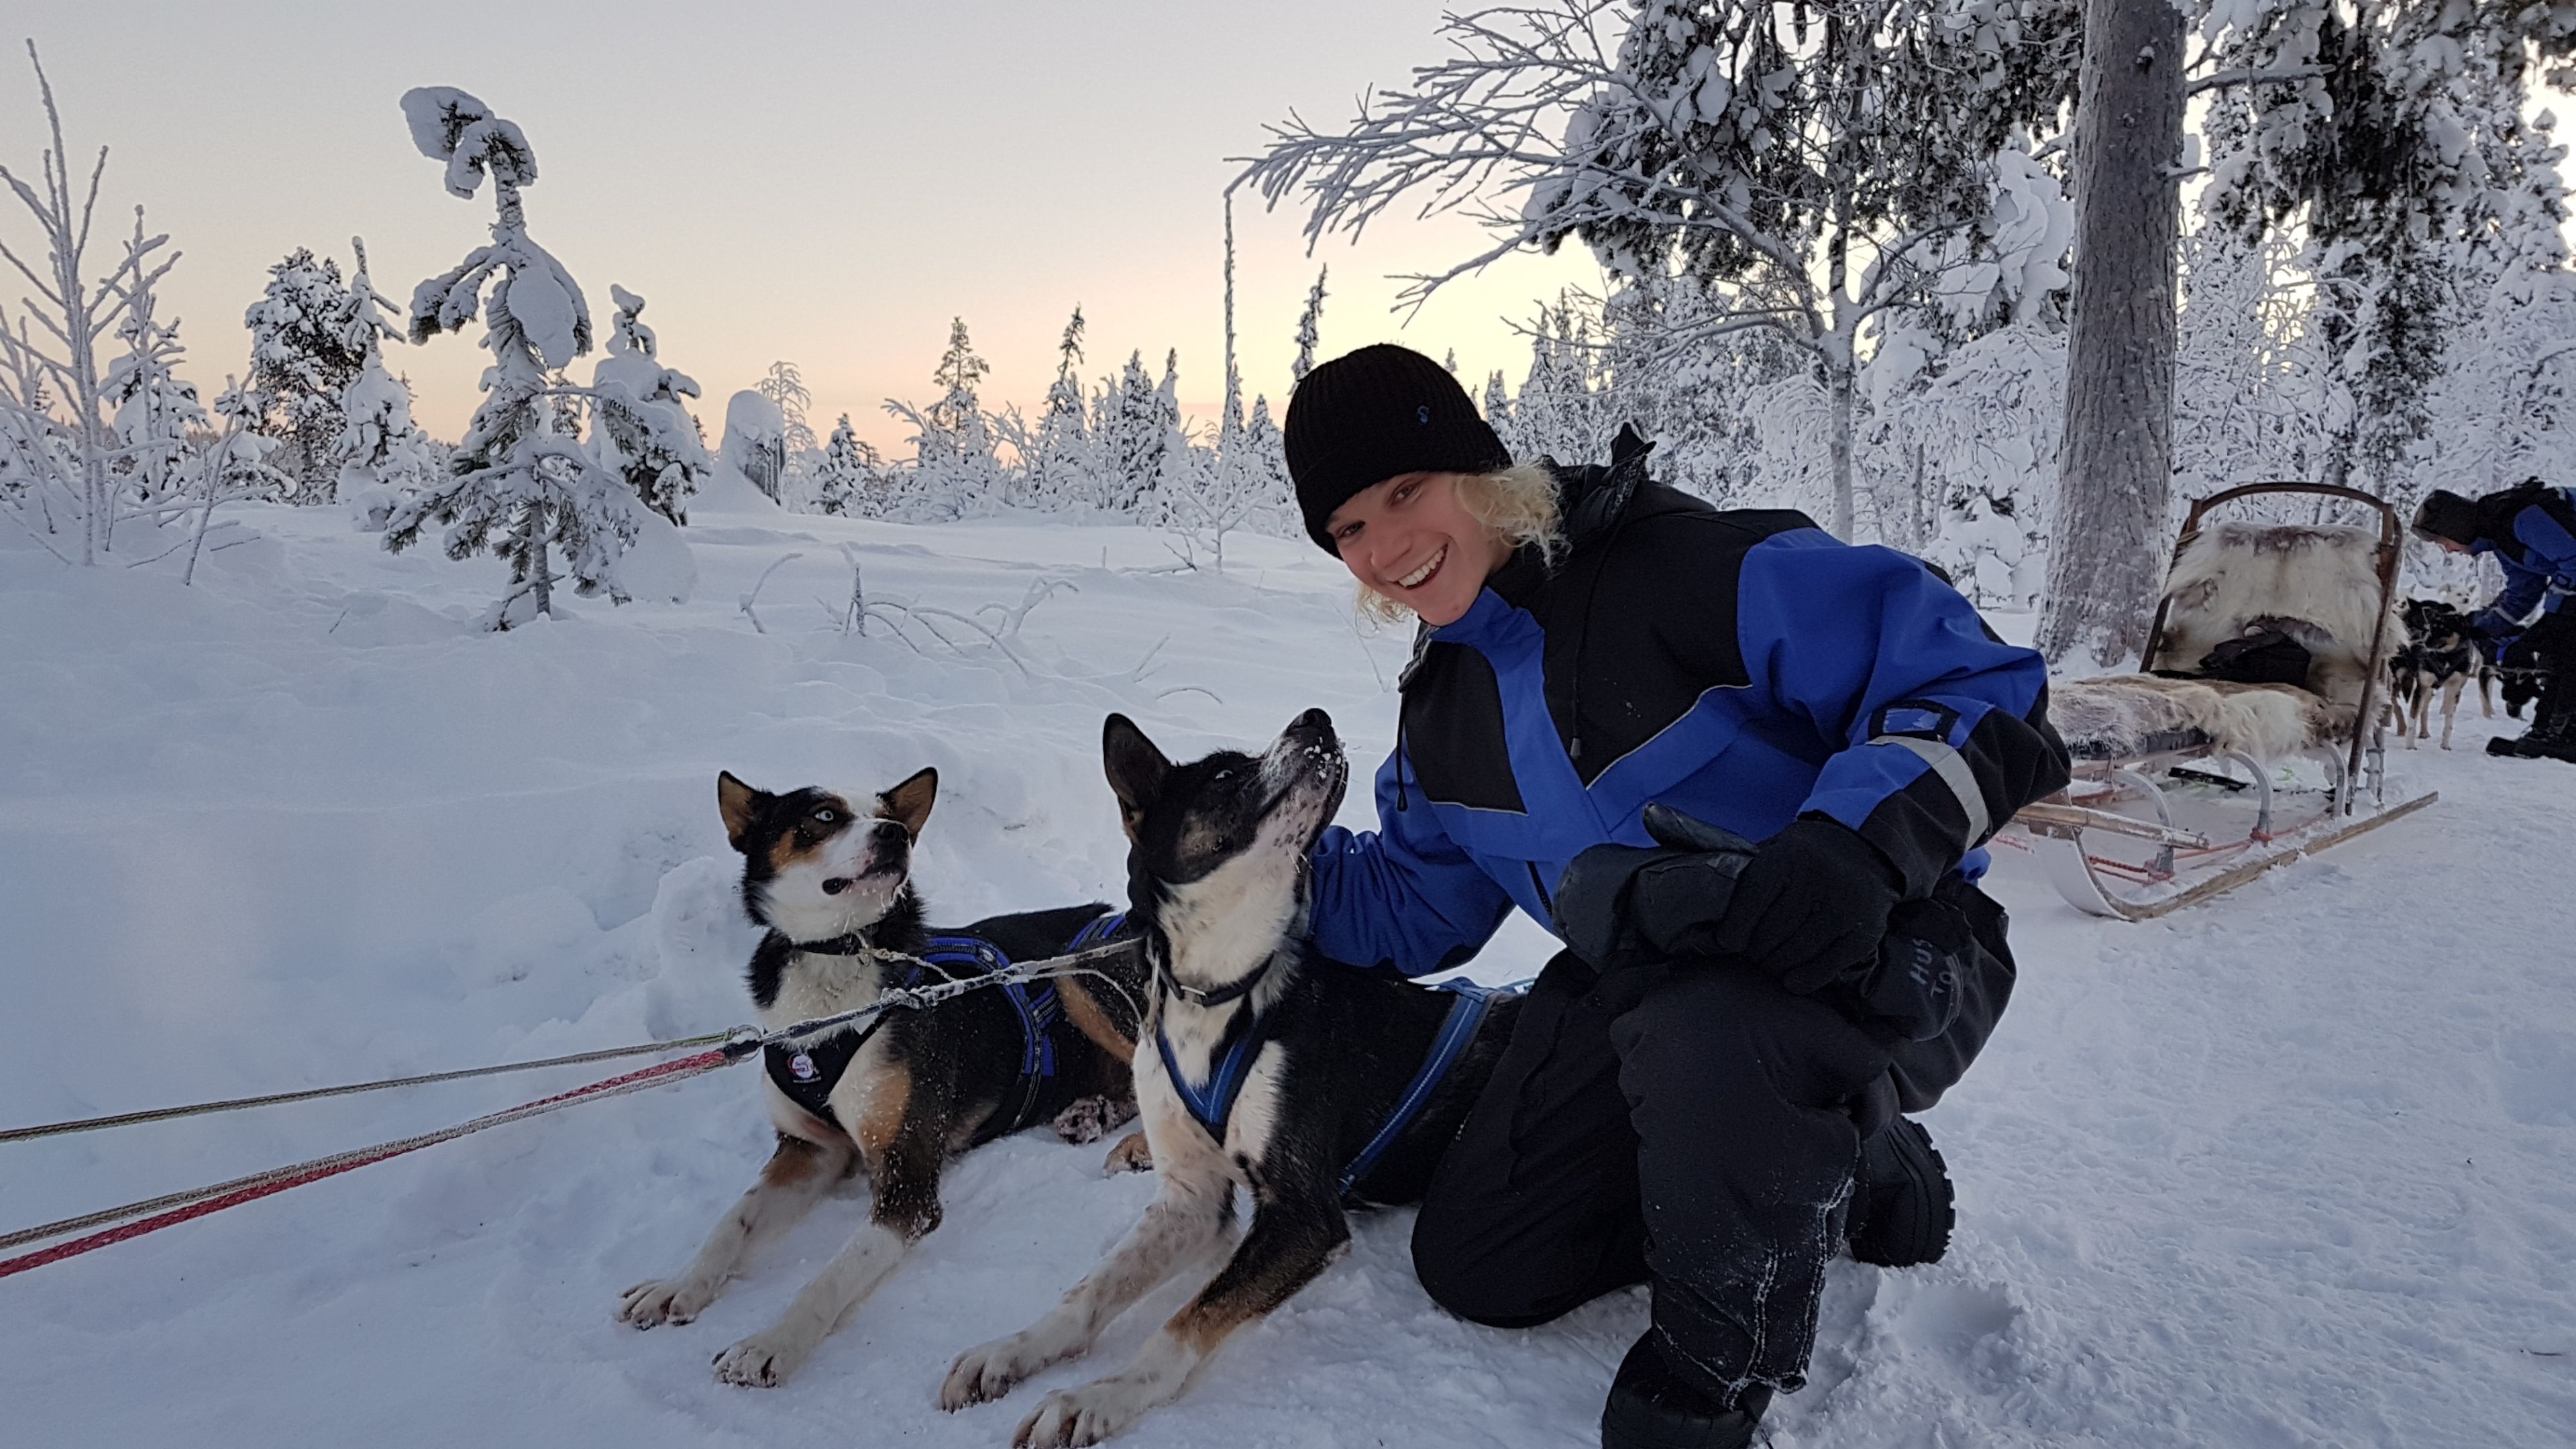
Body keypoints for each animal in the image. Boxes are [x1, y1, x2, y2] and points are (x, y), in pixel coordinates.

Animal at [612, 768, 1148, 1392]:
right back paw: (1089, 1113)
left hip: (1075, 968)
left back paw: (1136, 1144)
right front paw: (679, 1285)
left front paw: (771, 1343)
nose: (894, 835)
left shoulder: (907, 1181)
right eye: (823, 816)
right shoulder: (809, 1150)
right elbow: (732, 1222)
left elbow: (831, 1275)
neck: (838, 964)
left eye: (890, 817)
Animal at [948, 711, 1525, 1444]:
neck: (1220, 995)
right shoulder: (1191, 1199)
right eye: (1225, 772)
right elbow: (1091, 1290)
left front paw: (1095, 1397)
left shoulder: (1305, 1219)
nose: (1316, 718)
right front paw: (1013, 1349)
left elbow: (1183, 1323)